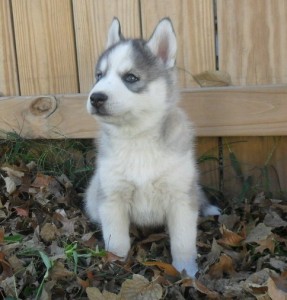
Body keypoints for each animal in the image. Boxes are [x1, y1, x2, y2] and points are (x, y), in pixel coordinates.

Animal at [85, 18, 220, 276]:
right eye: (98, 75)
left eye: (130, 78)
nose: (95, 97)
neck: (137, 139)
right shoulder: (113, 197)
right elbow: (117, 239)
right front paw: (116, 264)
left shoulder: (180, 197)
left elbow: (182, 240)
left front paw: (186, 271)